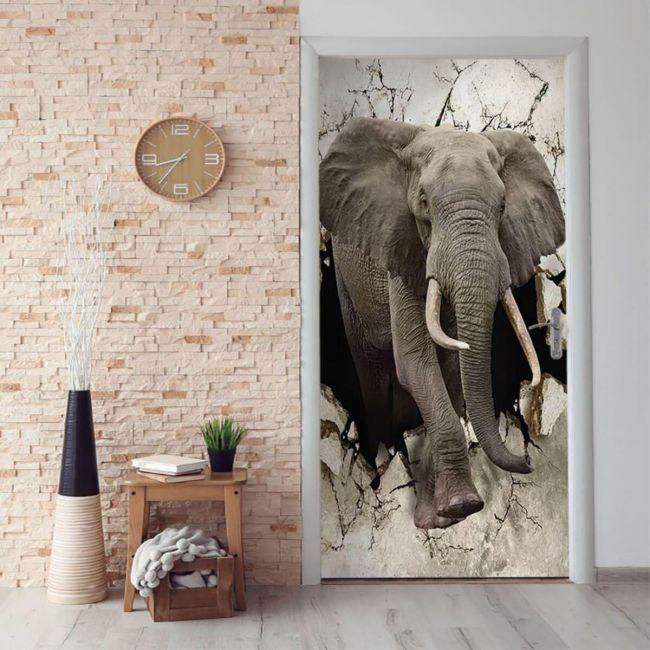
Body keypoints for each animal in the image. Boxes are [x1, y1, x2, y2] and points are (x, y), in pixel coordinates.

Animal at [320, 117, 564, 529]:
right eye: (423, 203)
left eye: (502, 206)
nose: (528, 458)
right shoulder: (402, 251)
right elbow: (415, 363)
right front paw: (458, 508)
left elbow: (450, 371)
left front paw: (442, 516)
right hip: (346, 280)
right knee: (373, 372)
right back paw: (380, 460)